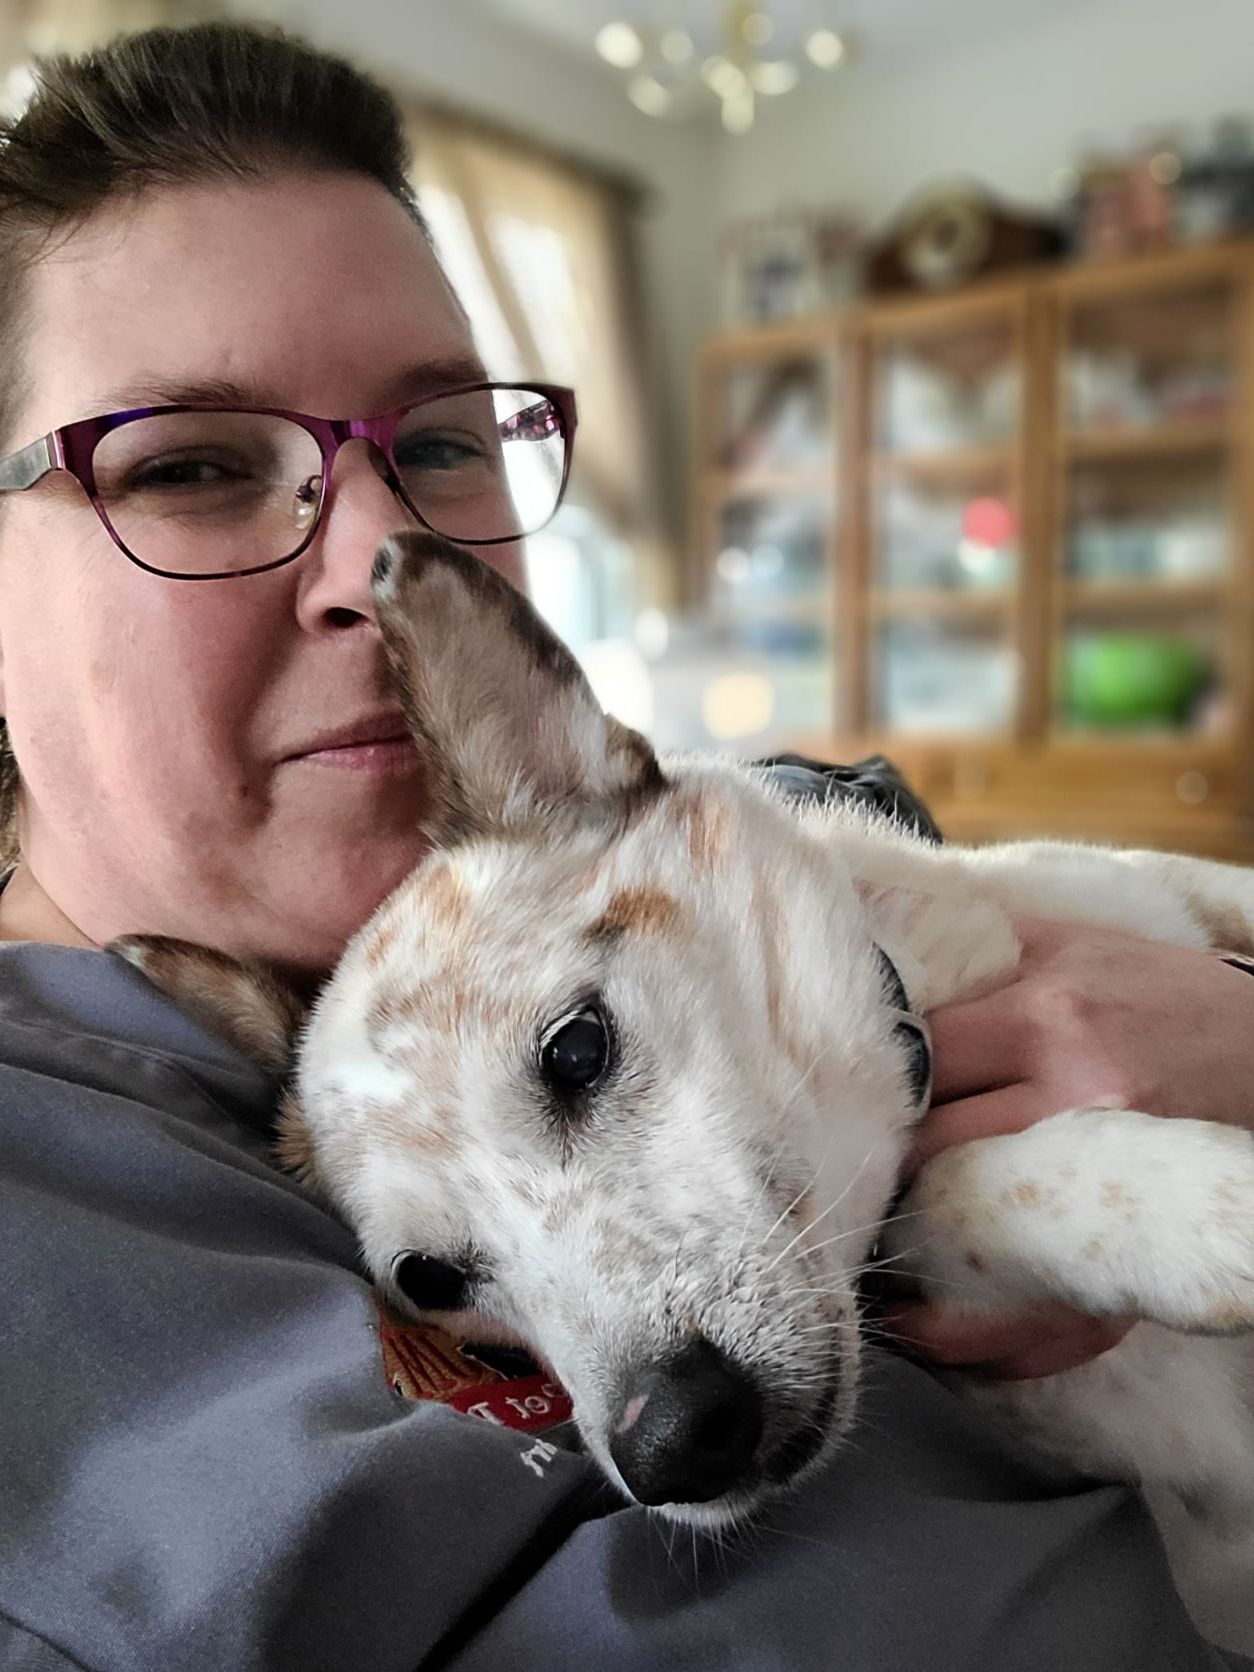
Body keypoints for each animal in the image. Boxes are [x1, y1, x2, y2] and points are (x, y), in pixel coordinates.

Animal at [117, 538, 1254, 1658]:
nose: (674, 1446)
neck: (933, 990)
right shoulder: (1207, 1544)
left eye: (576, 1050)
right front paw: (1208, 1213)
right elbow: (960, 1184)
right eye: (429, 1279)